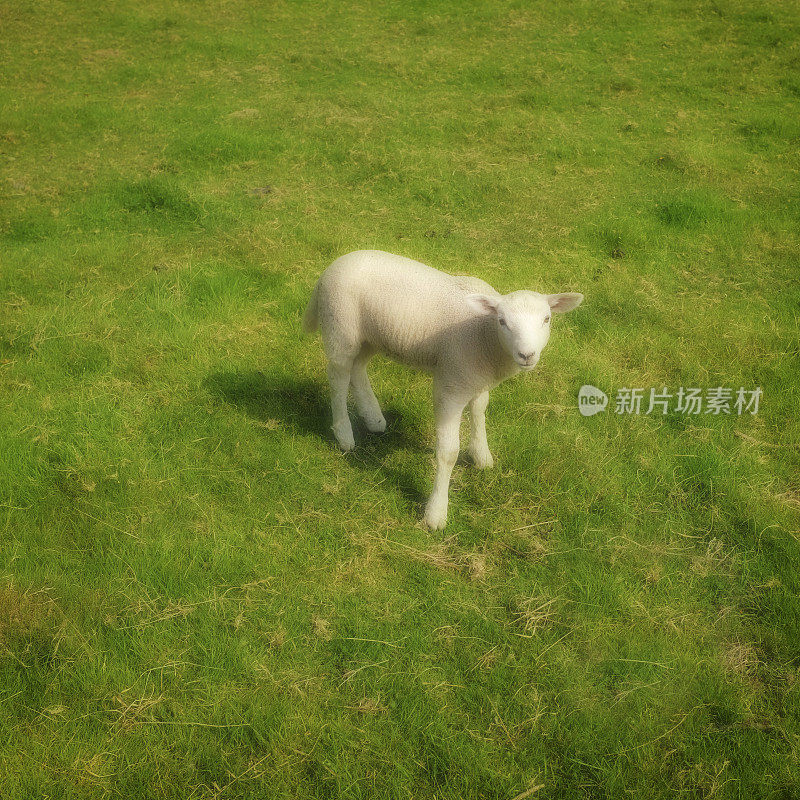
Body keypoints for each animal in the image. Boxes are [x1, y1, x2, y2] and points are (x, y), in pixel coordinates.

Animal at [300, 247, 580, 528]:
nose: (527, 355)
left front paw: (481, 455)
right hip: (340, 327)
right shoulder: (451, 386)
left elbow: (479, 411)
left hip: (371, 335)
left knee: (358, 369)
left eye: (546, 319)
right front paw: (436, 512)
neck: (486, 337)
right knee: (338, 377)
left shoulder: (477, 379)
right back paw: (344, 434)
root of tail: (332, 267)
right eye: (502, 321)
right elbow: (448, 452)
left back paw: (373, 418)